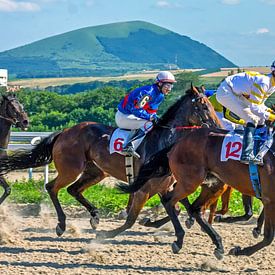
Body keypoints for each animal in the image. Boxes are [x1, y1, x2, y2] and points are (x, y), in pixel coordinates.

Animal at [0, 84, 221, 237]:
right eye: (203, 106)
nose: (217, 126)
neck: (163, 140)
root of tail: (64, 131)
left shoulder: (166, 183)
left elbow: (180, 205)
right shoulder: (148, 184)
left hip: (96, 172)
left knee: (73, 189)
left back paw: (94, 216)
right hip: (71, 169)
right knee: (52, 187)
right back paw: (62, 224)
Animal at [121, 127, 275, 258]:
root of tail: (178, 143)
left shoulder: (267, 199)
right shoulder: (269, 200)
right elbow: (268, 236)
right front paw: (240, 250)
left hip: (213, 184)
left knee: (195, 208)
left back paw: (217, 243)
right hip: (190, 181)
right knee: (169, 201)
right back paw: (179, 239)